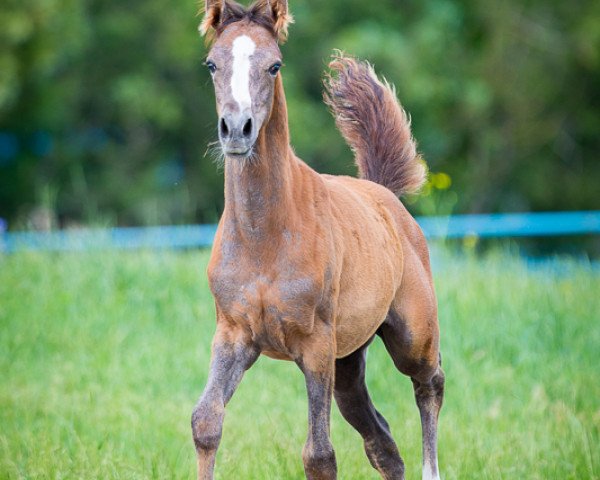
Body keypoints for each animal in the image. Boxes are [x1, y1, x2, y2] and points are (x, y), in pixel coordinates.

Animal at [192, 1, 446, 478]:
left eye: (274, 65)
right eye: (212, 64)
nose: (236, 129)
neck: (264, 237)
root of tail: (383, 195)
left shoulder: (315, 346)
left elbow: (319, 454)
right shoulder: (233, 334)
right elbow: (206, 421)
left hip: (411, 335)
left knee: (430, 384)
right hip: (348, 361)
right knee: (381, 441)